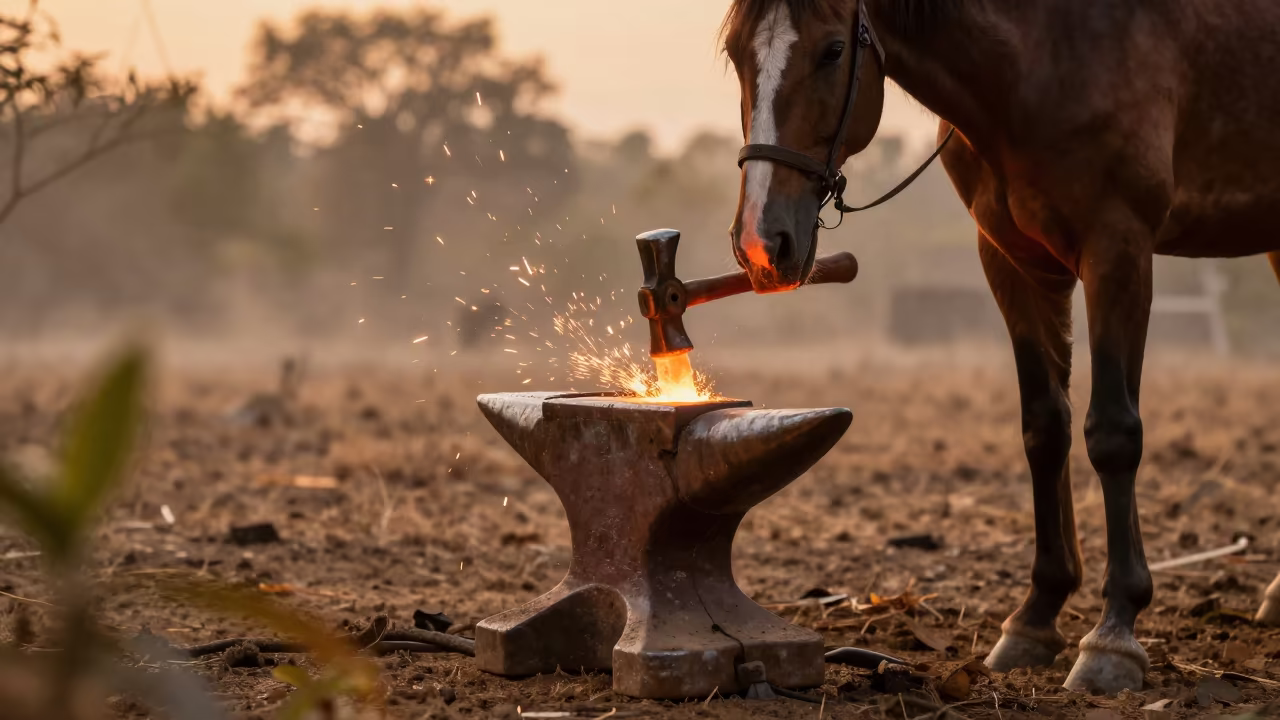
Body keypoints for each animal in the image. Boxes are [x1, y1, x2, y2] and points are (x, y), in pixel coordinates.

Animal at [719, 0, 1280, 694]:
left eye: (831, 51)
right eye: (737, 54)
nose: (761, 243)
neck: (1043, 58)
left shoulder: (1118, 248)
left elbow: (1113, 433)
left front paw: (1114, 633)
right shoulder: (1014, 262)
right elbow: (1045, 429)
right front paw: (1036, 617)